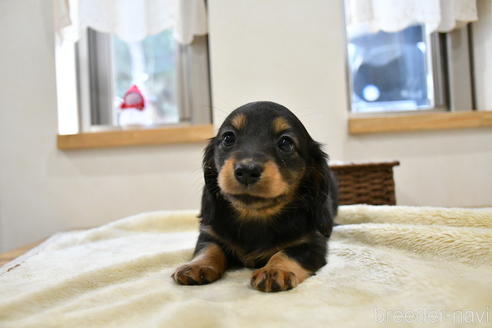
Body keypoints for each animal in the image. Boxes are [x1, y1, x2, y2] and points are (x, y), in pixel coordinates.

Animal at [173, 100, 338, 292]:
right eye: (228, 138)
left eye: (286, 143)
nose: (246, 170)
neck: (254, 215)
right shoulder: (210, 233)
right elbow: (208, 248)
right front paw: (197, 265)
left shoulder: (313, 242)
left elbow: (287, 253)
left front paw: (275, 270)